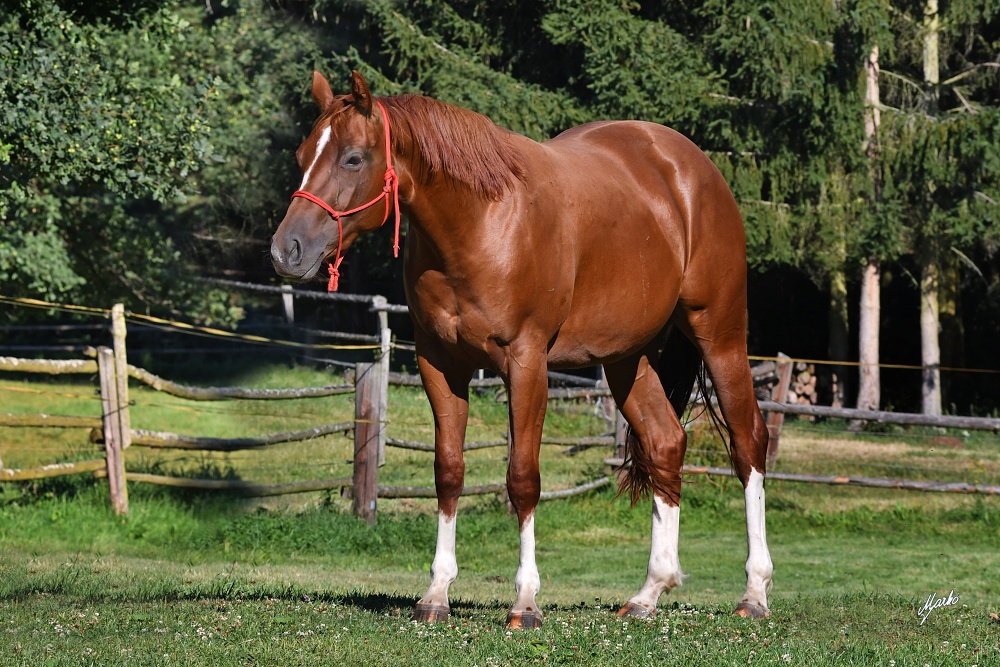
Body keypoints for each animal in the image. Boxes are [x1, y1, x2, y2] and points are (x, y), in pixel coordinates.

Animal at [268, 70, 772, 628]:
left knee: (749, 444)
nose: (285, 251)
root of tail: (691, 167)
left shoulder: (527, 363)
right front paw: (436, 593)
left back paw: (754, 592)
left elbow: (523, 478)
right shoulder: (439, 365)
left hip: (720, 336)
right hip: (628, 360)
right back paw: (648, 592)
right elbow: (449, 472)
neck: (480, 223)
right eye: (302, 154)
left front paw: (525, 601)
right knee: (665, 443)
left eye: (353, 158)